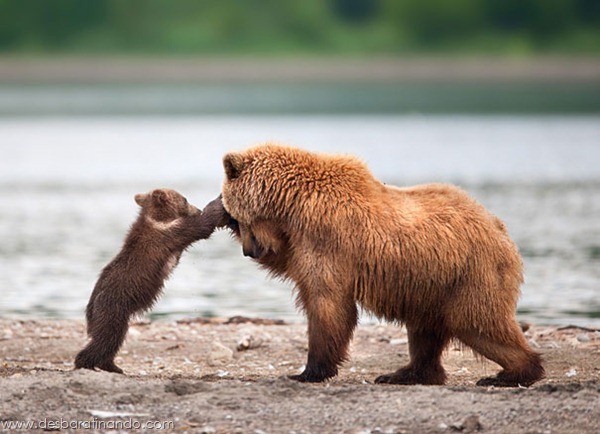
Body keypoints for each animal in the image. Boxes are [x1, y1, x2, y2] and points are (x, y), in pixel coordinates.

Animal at [220, 145, 544, 386]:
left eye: (240, 215)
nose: (249, 251)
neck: (292, 204)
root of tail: (499, 228)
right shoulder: (299, 240)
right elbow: (289, 264)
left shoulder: (327, 237)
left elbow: (327, 302)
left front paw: (308, 371)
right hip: (430, 283)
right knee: (425, 331)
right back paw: (406, 373)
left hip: (471, 273)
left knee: (478, 322)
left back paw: (512, 373)